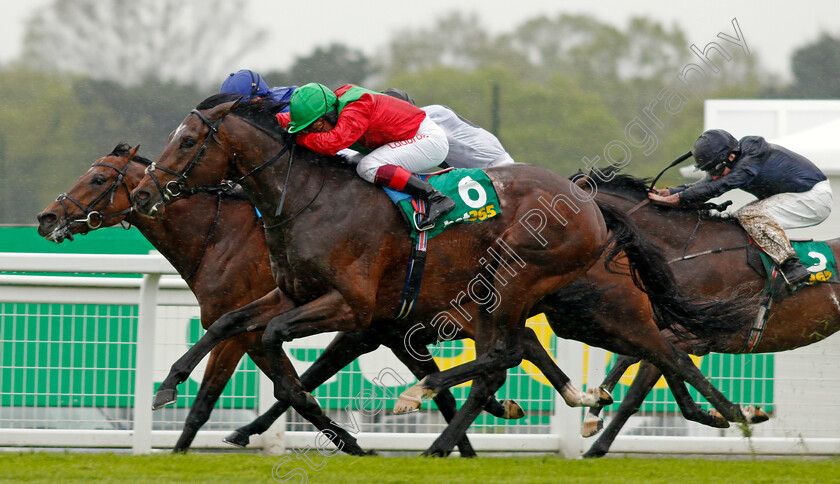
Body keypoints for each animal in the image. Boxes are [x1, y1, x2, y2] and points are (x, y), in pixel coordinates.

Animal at [130, 95, 756, 458]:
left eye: (188, 141)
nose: (143, 191)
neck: (308, 198)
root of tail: (588, 202)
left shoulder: (353, 307)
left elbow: (275, 347)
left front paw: (340, 433)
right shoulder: (293, 292)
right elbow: (232, 324)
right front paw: (168, 385)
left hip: (525, 282)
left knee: (514, 354)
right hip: (539, 303)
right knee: (630, 352)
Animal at [572, 170, 840, 458]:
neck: (686, 251)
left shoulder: (693, 335)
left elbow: (637, 391)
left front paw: (595, 448)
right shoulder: (662, 327)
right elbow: (633, 360)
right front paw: (593, 416)